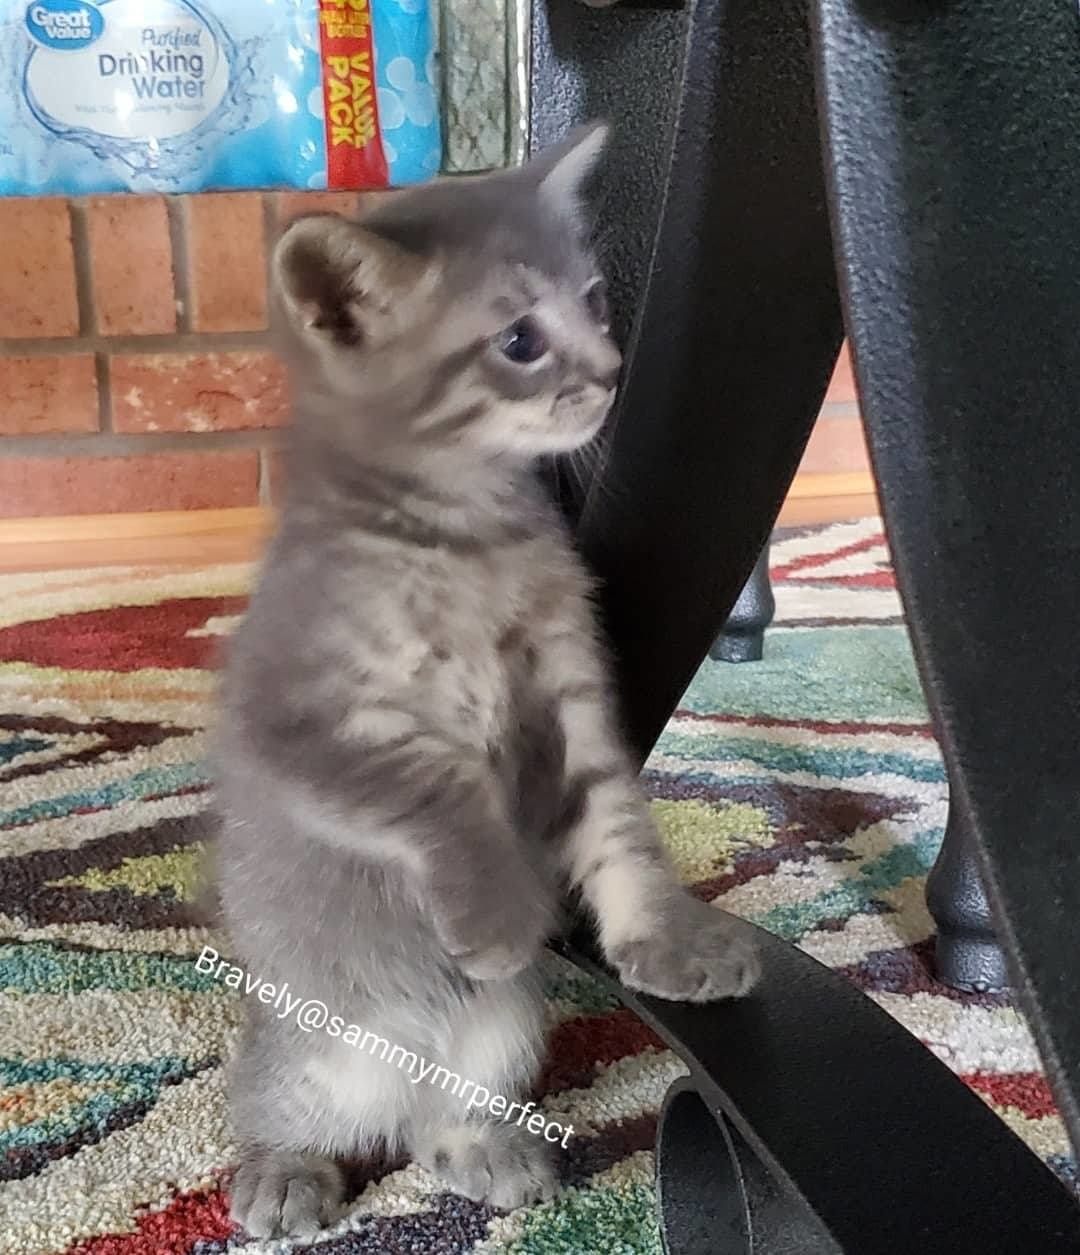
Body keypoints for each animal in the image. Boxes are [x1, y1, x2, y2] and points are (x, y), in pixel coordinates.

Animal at [214, 122, 757, 1239]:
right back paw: (284, 1171)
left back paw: (483, 1147)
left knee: (438, 1120)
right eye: (518, 340)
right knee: (284, 1103)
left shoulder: (574, 696)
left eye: (594, 299)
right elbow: (432, 785)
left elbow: (619, 826)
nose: (613, 371)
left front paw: (666, 936)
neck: (465, 540)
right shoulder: (290, 713)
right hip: (308, 1043)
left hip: (503, 1032)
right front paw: (501, 910)